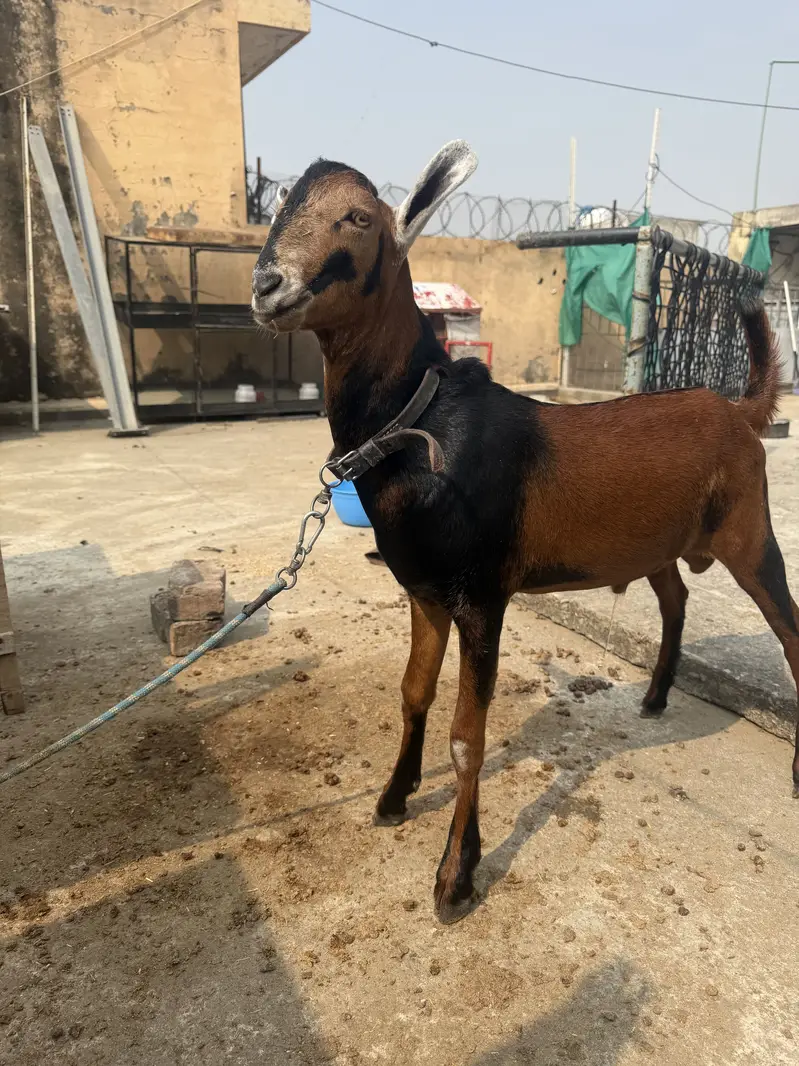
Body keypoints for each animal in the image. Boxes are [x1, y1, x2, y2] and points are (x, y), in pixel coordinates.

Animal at [252, 141, 798, 924]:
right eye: (280, 206)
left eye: (356, 217)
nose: (267, 287)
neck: (423, 420)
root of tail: (738, 410)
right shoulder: (424, 591)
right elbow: (412, 693)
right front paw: (392, 797)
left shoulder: (482, 596)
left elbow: (466, 738)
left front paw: (456, 875)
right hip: (661, 540)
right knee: (674, 598)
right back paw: (655, 697)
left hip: (750, 532)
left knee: (787, 627)